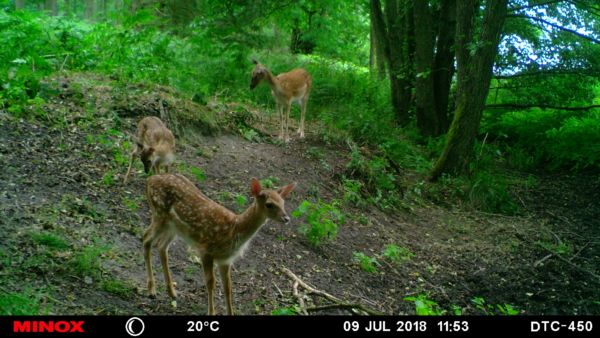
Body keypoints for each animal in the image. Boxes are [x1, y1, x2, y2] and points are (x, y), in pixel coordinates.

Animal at [144, 173, 296, 316]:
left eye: (283, 202)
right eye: (269, 204)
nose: (287, 218)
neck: (234, 230)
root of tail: (151, 179)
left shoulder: (225, 260)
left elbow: (228, 288)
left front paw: (231, 313)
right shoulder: (206, 251)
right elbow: (211, 283)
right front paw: (211, 312)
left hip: (173, 228)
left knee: (161, 246)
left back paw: (172, 292)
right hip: (159, 214)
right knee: (146, 238)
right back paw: (151, 290)